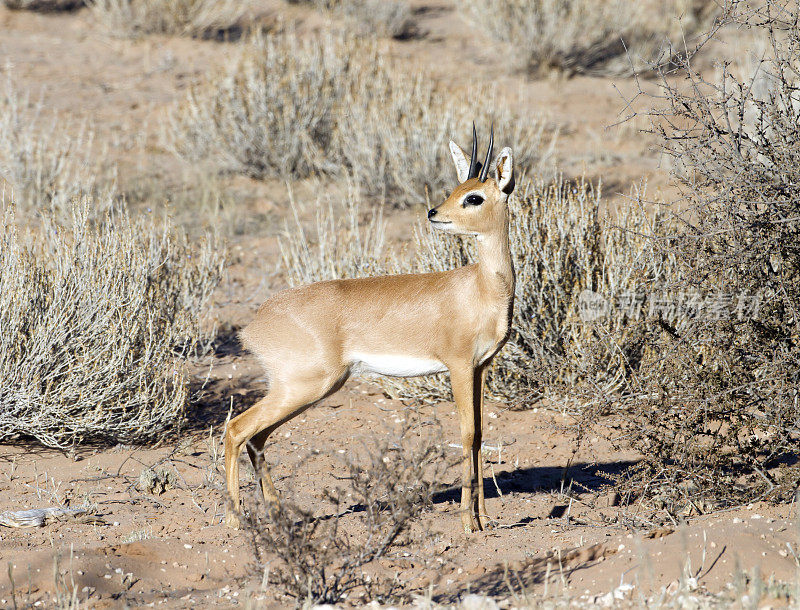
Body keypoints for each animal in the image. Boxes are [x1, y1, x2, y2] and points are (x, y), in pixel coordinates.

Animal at [225, 124, 516, 532]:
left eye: (473, 196)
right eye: (457, 191)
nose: (433, 213)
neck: (482, 287)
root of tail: (255, 325)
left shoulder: (481, 368)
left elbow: (479, 435)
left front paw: (485, 519)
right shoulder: (459, 367)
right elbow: (467, 433)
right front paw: (467, 524)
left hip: (301, 391)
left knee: (256, 438)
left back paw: (279, 515)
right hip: (304, 387)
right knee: (236, 430)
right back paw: (234, 521)